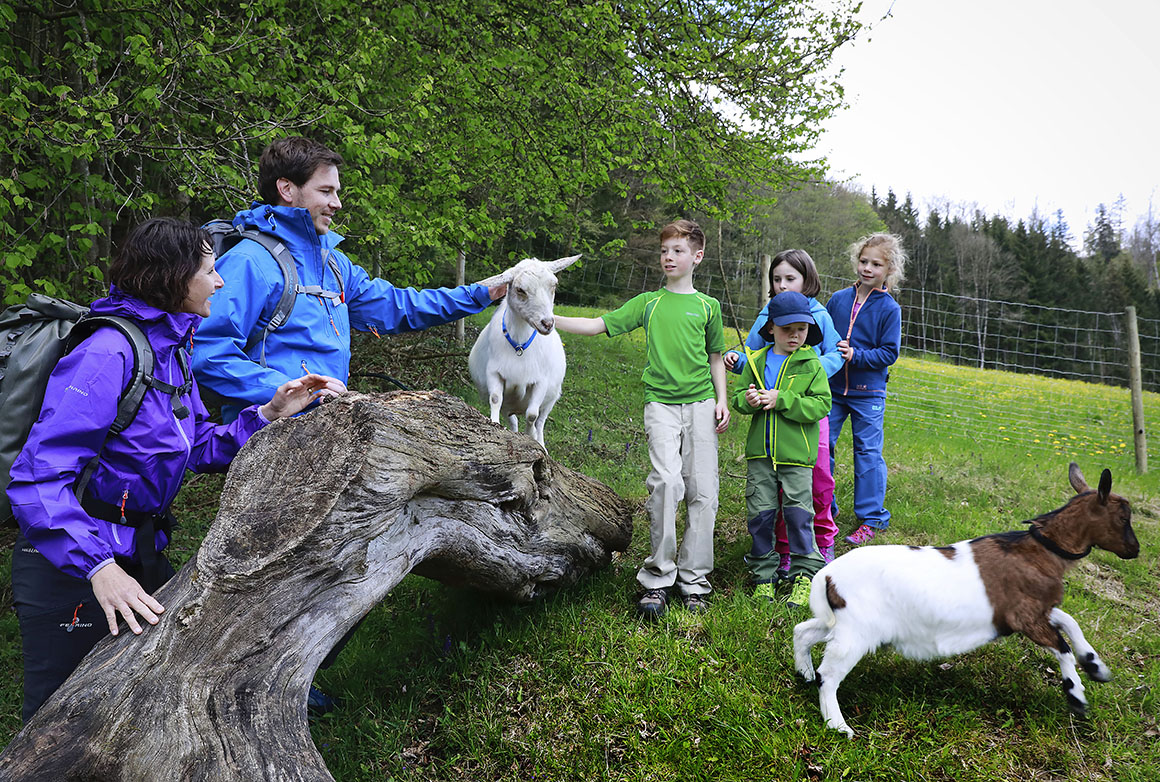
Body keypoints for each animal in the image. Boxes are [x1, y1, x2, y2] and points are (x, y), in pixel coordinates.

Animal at [466, 255, 580, 447]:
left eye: (554, 285)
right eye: (520, 289)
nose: (547, 323)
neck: (519, 346)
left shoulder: (541, 381)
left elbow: (532, 415)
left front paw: (530, 437)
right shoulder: (494, 373)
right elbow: (495, 399)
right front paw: (494, 424)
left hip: (552, 398)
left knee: (540, 421)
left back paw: (540, 443)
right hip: (509, 407)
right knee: (513, 420)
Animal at [793, 464, 1136, 737]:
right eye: (1123, 517)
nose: (1135, 550)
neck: (1040, 551)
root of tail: (827, 576)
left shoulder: (1033, 611)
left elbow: (1069, 621)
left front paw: (1096, 667)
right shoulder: (1026, 618)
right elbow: (1062, 645)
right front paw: (1077, 695)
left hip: (840, 622)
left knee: (803, 632)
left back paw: (804, 673)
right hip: (857, 633)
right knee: (829, 676)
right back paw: (838, 726)